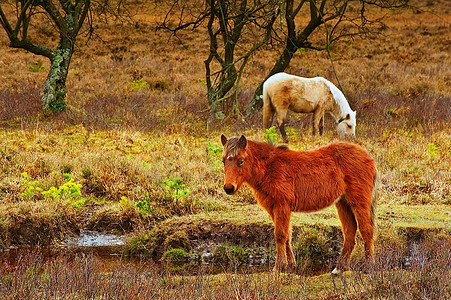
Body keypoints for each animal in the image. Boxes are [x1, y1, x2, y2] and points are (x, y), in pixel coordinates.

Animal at [221, 135, 376, 274]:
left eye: (241, 161)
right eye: (223, 160)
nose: (228, 188)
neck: (269, 168)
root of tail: (368, 157)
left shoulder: (282, 206)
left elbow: (280, 235)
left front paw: (278, 267)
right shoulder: (273, 209)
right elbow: (287, 235)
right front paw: (291, 265)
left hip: (359, 201)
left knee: (366, 230)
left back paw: (369, 267)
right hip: (343, 203)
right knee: (350, 232)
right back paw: (340, 268)